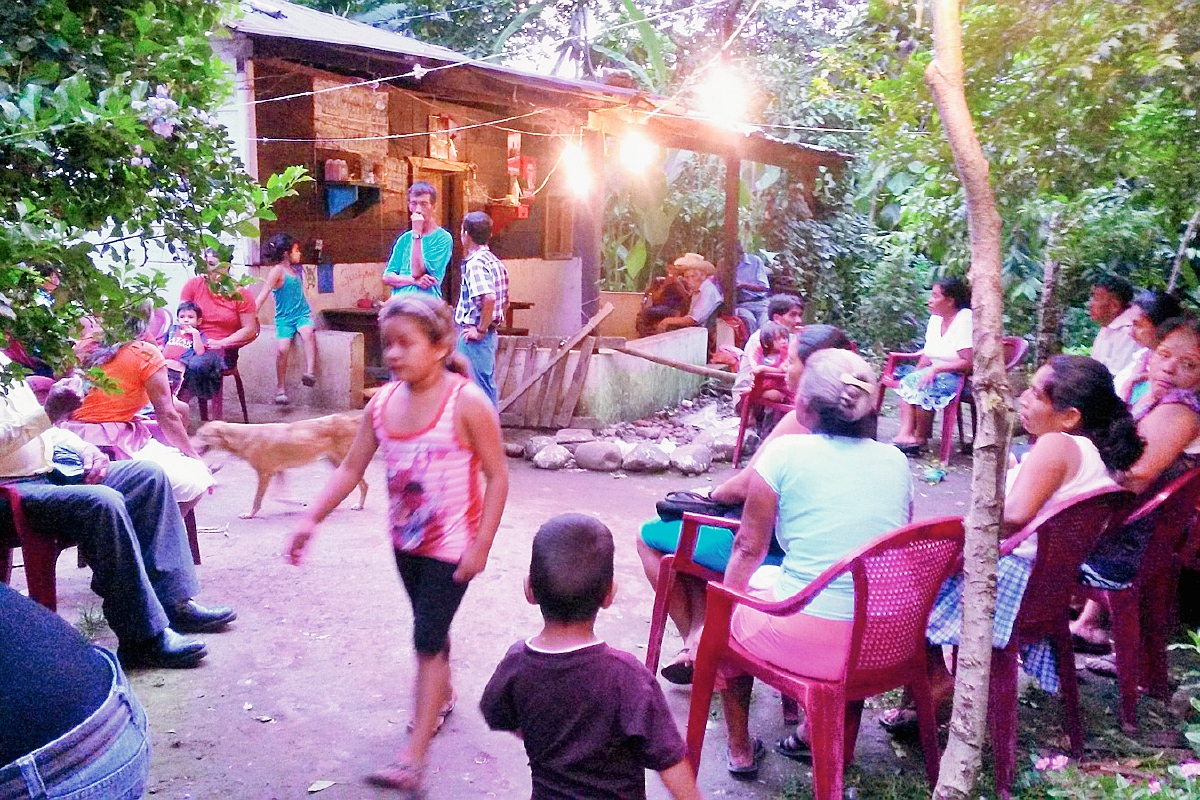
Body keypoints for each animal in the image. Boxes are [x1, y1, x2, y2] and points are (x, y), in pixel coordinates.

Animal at [194, 412, 364, 520]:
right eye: (197, 433)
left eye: (202, 435)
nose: (189, 443)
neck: (244, 437)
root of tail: (350, 419)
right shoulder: (279, 471)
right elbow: (280, 496)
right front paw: (296, 502)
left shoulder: (264, 474)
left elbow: (257, 500)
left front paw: (250, 515)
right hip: (335, 463)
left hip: (344, 463)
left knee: (363, 484)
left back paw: (358, 506)